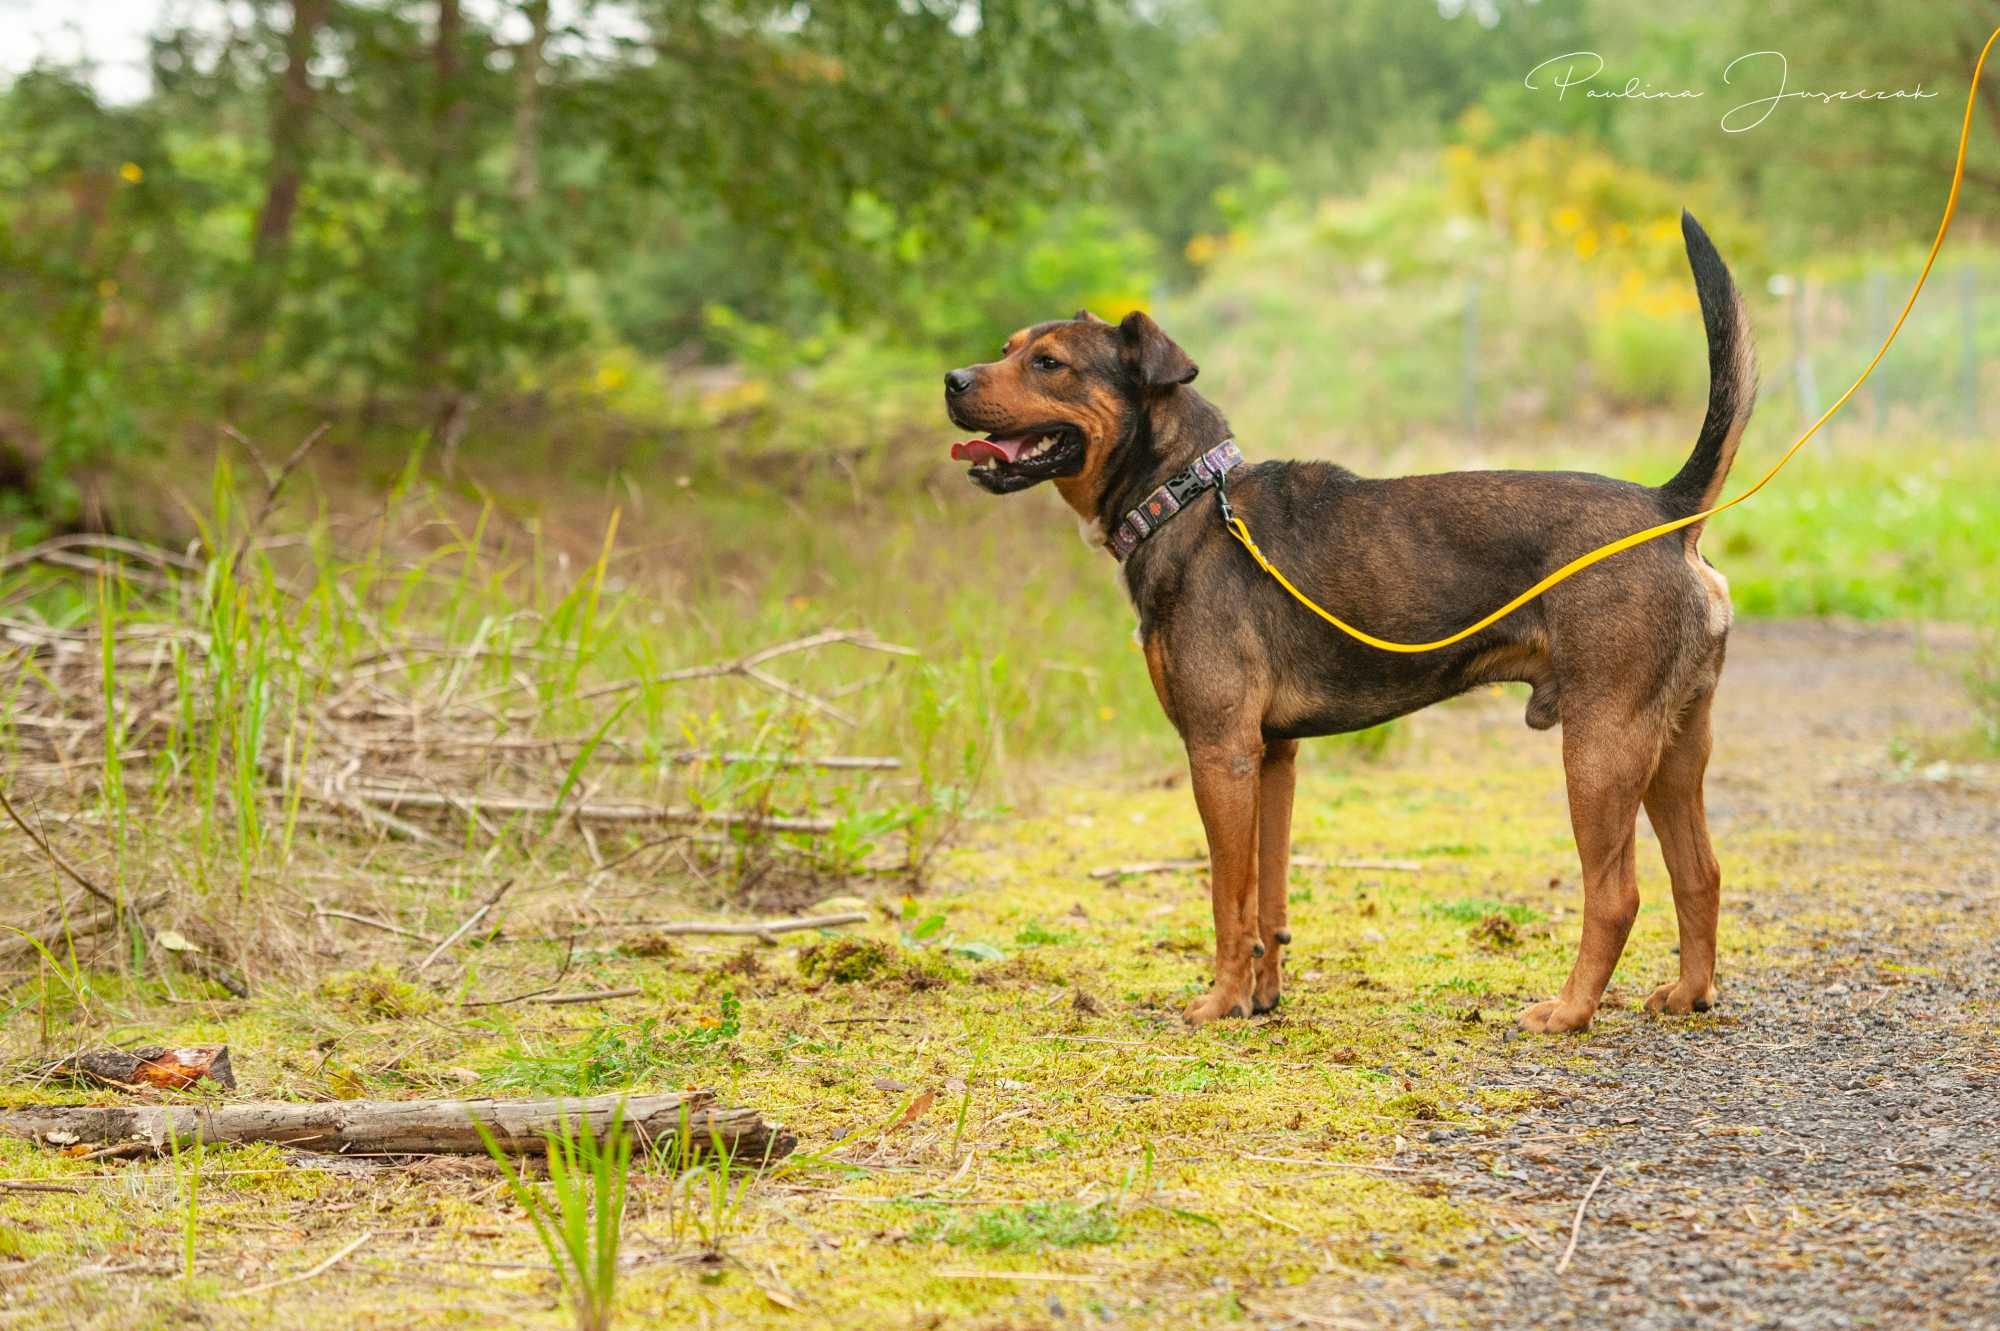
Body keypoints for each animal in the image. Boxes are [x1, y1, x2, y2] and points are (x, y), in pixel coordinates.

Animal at [936, 212, 1752, 1031]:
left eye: (1049, 363)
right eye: (1007, 348)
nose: (952, 381)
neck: (1187, 497)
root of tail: (1668, 510)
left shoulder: (1219, 752)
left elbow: (1226, 900)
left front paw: (1219, 1002)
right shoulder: (1272, 756)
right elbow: (1267, 901)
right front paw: (1261, 998)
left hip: (1600, 747)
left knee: (1616, 894)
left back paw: (1568, 1010)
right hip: (1674, 743)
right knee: (1703, 871)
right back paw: (1689, 992)